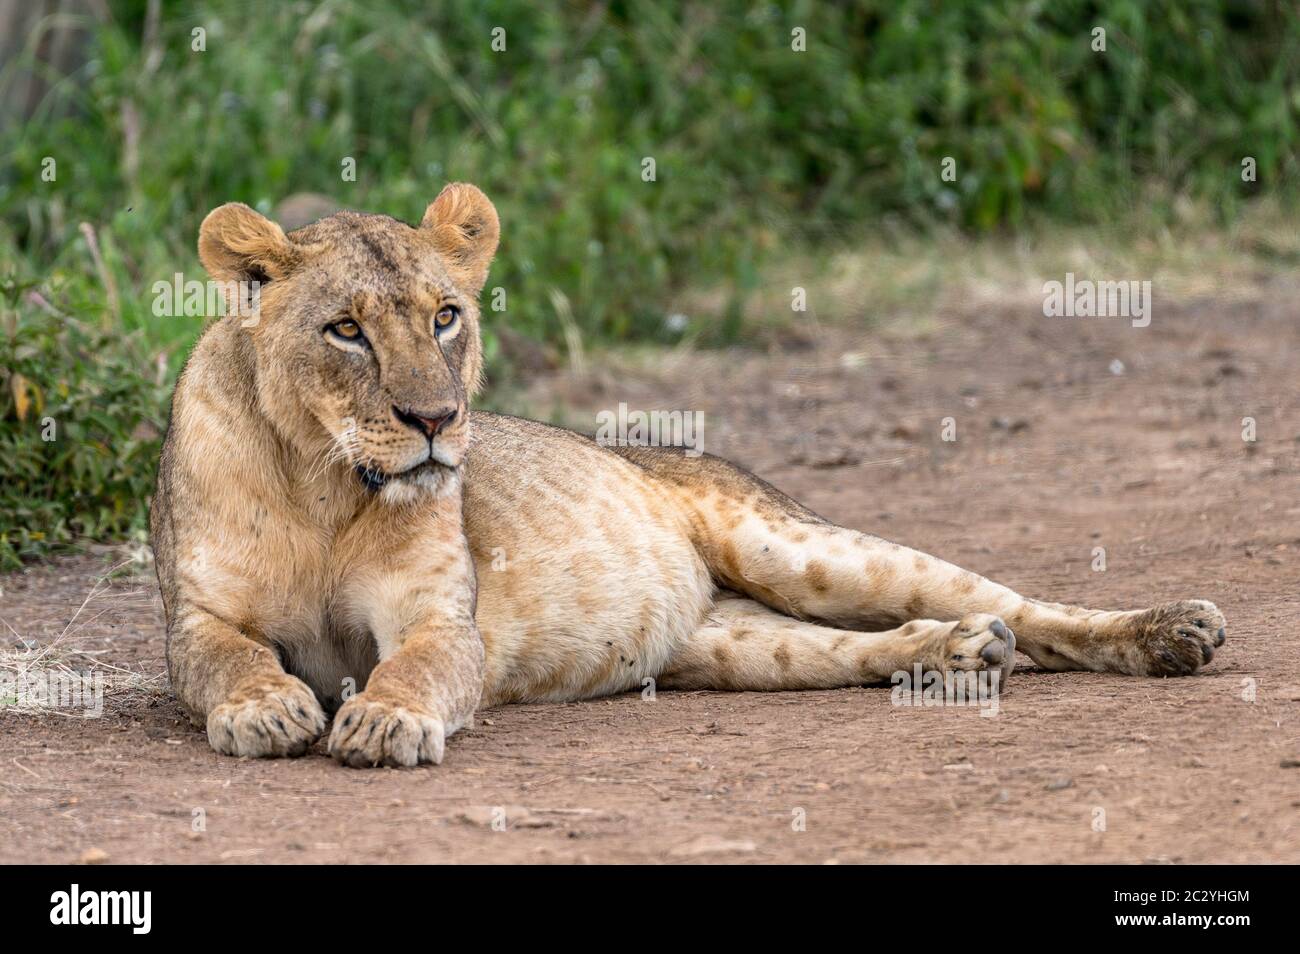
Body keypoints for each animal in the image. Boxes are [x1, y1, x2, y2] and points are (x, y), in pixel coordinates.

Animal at [147, 180, 1222, 769]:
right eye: (345, 331)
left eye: (445, 316)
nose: (437, 422)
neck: (328, 488)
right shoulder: (198, 620)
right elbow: (229, 660)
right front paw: (268, 706)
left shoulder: (443, 618)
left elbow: (415, 664)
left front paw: (381, 720)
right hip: (737, 644)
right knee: (858, 646)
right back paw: (956, 655)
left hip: (796, 547)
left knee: (1021, 605)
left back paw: (1171, 632)